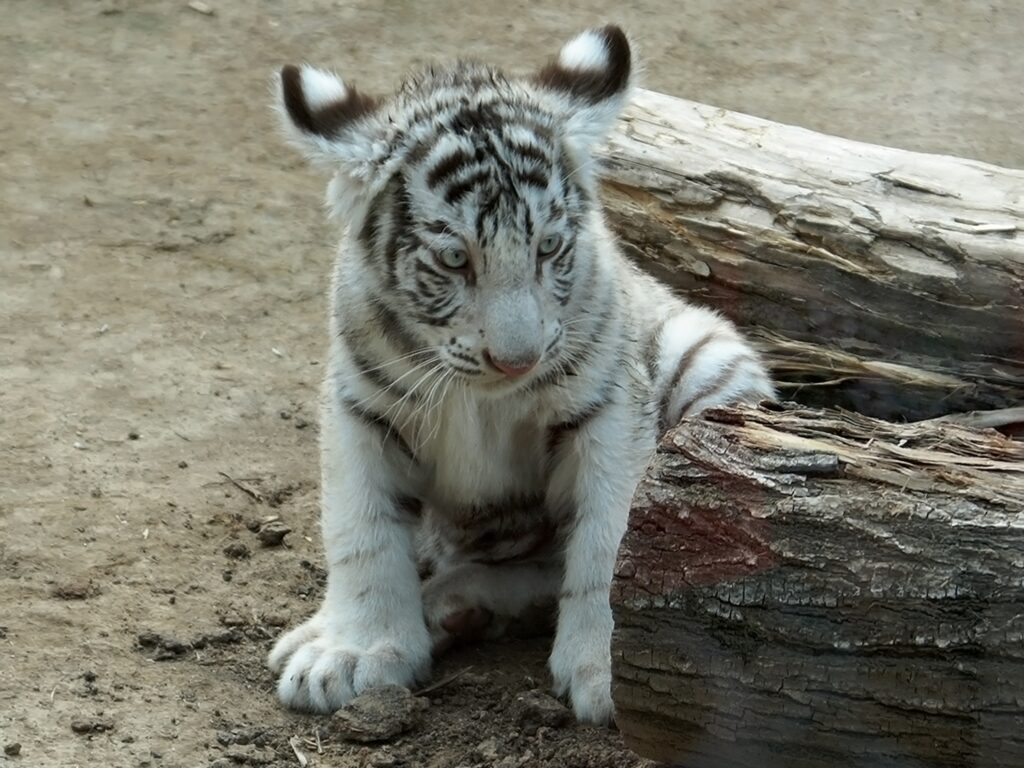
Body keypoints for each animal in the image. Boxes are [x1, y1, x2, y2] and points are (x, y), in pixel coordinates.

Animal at [266, 25, 774, 724]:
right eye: (455, 259)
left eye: (549, 248)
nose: (518, 360)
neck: (483, 395)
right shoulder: (359, 407)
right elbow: (360, 530)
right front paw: (353, 651)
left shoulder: (608, 410)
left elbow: (611, 543)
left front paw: (609, 668)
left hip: (705, 358)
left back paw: (456, 605)